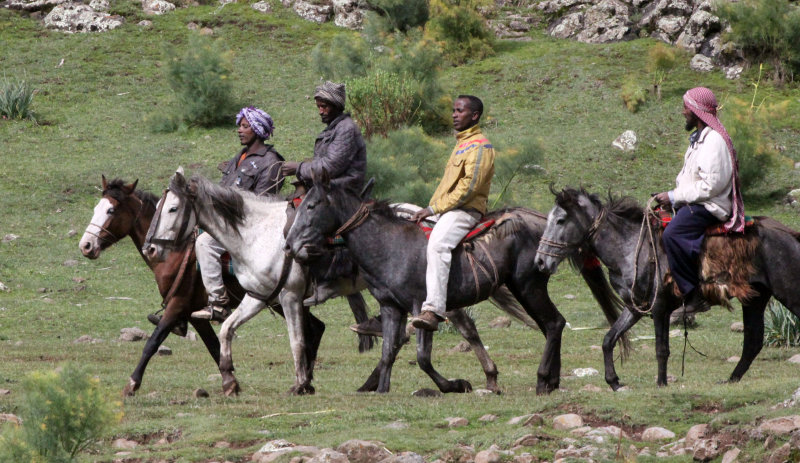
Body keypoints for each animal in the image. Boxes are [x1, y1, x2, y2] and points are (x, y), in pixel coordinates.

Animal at [284, 179, 628, 394]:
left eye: (312, 206)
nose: (289, 244)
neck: (389, 244)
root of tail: (541, 223)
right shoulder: (391, 307)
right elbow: (388, 351)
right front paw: (380, 389)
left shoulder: (421, 307)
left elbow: (422, 357)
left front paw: (456, 384)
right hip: (526, 289)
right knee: (551, 325)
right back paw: (552, 380)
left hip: (529, 286)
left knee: (555, 323)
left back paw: (544, 380)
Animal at [536, 188, 800, 392]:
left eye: (560, 220)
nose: (540, 262)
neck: (630, 247)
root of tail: (789, 234)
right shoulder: (635, 308)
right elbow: (609, 339)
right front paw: (614, 382)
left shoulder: (660, 307)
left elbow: (661, 349)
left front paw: (661, 383)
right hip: (755, 298)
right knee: (753, 341)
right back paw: (731, 379)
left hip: (788, 292)